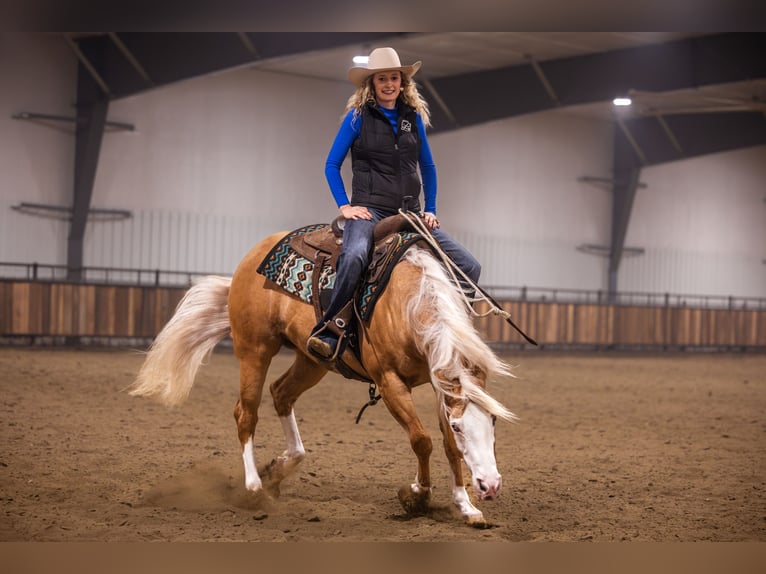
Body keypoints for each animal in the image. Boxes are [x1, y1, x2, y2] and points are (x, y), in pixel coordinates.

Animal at [129, 228, 517, 526]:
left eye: (494, 422)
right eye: (459, 426)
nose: (491, 485)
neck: (405, 303)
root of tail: (249, 261)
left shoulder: (440, 383)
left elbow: (449, 448)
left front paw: (466, 506)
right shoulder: (389, 381)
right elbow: (422, 440)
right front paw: (417, 495)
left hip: (311, 360)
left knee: (281, 394)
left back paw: (279, 468)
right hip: (254, 350)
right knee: (246, 412)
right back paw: (254, 487)